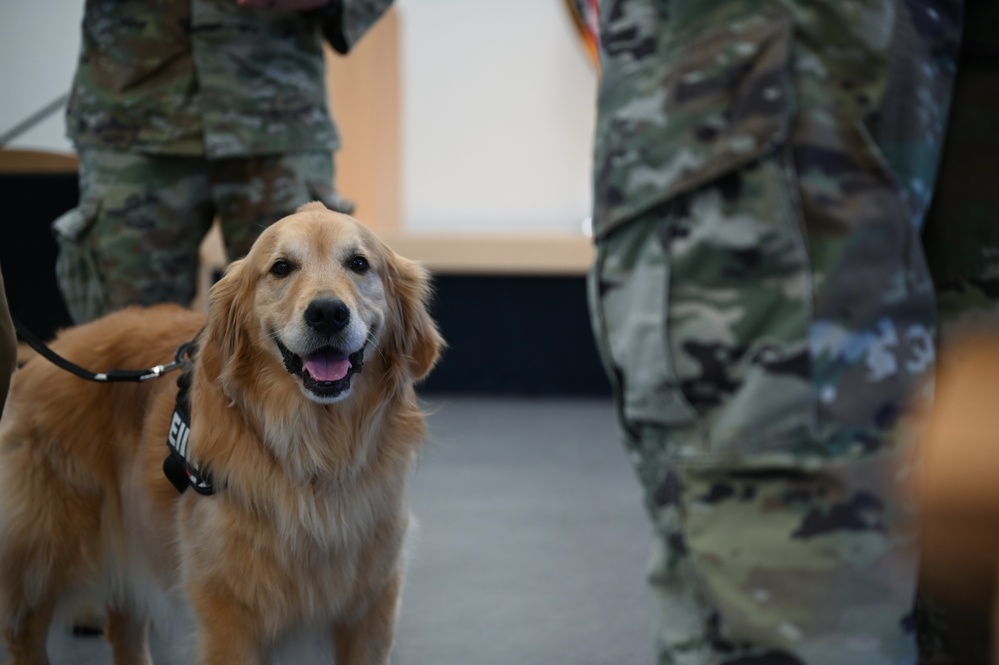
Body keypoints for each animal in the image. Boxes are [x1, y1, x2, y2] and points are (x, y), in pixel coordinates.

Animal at [0, 204, 442, 664]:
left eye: (359, 264)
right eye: (281, 268)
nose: (327, 313)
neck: (315, 450)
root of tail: (48, 353)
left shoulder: (371, 609)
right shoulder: (230, 615)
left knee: (123, 628)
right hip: (40, 557)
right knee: (24, 633)